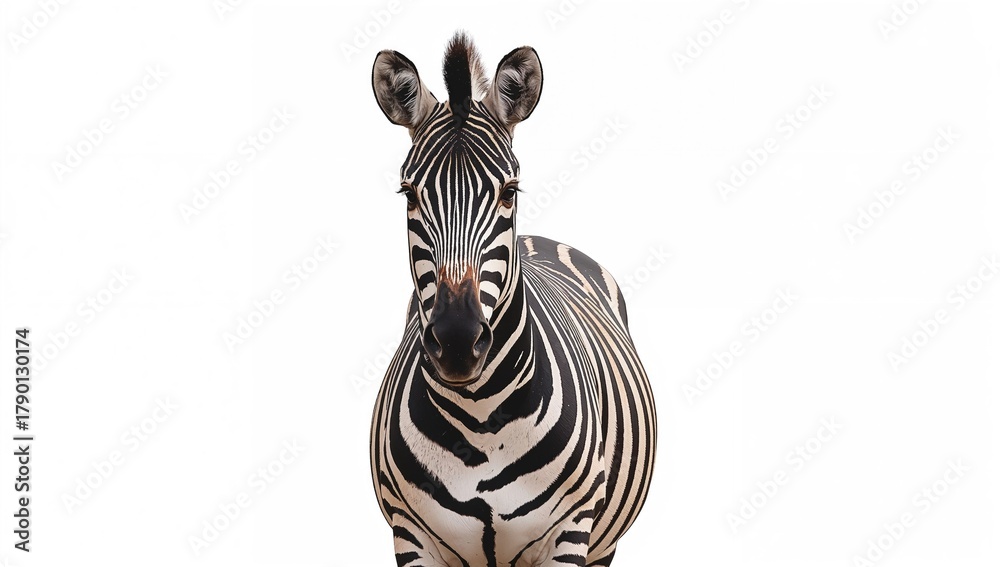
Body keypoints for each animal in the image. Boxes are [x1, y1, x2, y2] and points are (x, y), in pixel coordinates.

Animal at [369, 32, 657, 566]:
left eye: (509, 190)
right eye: (408, 194)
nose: (457, 342)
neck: (481, 420)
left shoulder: (569, 532)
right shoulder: (411, 534)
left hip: (603, 543)